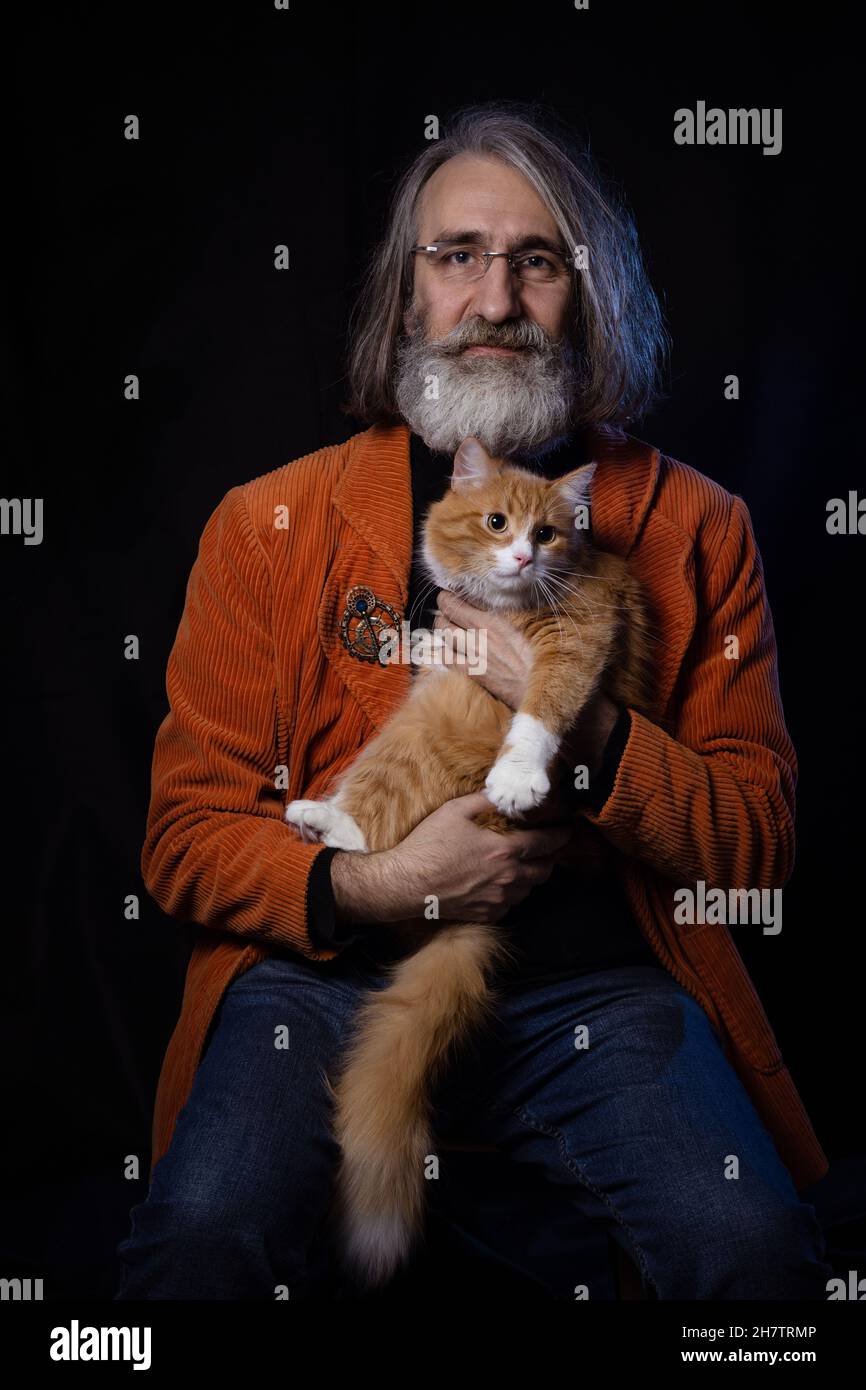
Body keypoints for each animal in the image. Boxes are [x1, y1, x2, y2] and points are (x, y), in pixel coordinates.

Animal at [284, 436, 650, 1289]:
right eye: (495, 523)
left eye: (548, 533)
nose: (521, 556)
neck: (508, 608)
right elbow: (438, 640)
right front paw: (419, 640)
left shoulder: (576, 639)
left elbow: (541, 714)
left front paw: (519, 777)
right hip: (408, 732)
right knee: (363, 821)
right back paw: (318, 818)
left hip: (427, 735)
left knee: (374, 826)